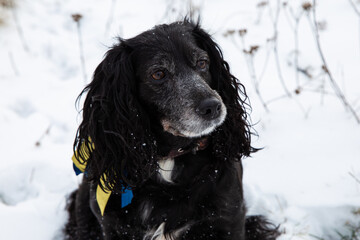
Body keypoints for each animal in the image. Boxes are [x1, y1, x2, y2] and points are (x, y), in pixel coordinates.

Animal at [64, 19, 278, 240]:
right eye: (158, 74)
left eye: (202, 62)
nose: (213, 107)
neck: (169, 157)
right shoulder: (113, 226)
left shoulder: (229, 220)